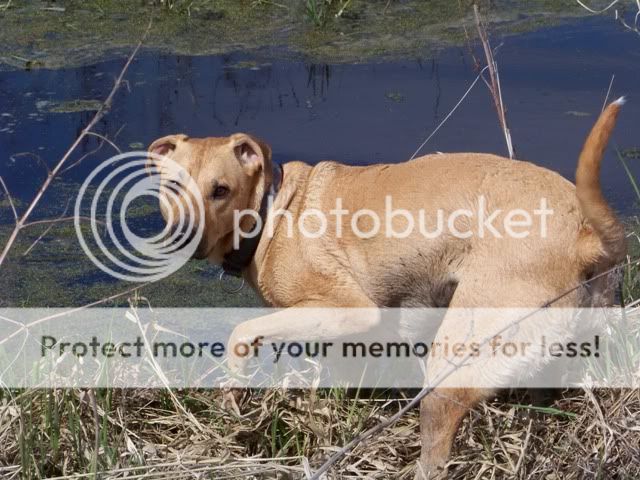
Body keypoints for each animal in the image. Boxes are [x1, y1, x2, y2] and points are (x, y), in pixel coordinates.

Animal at [147, 99, 626, 478]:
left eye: (220, 190)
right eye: (171, 187)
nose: (181, 237)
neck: (273, 214)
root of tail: (585, 237)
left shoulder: (348, 308)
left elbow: (240, 334)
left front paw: (234, 398)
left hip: (451, 363)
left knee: (437, 448)